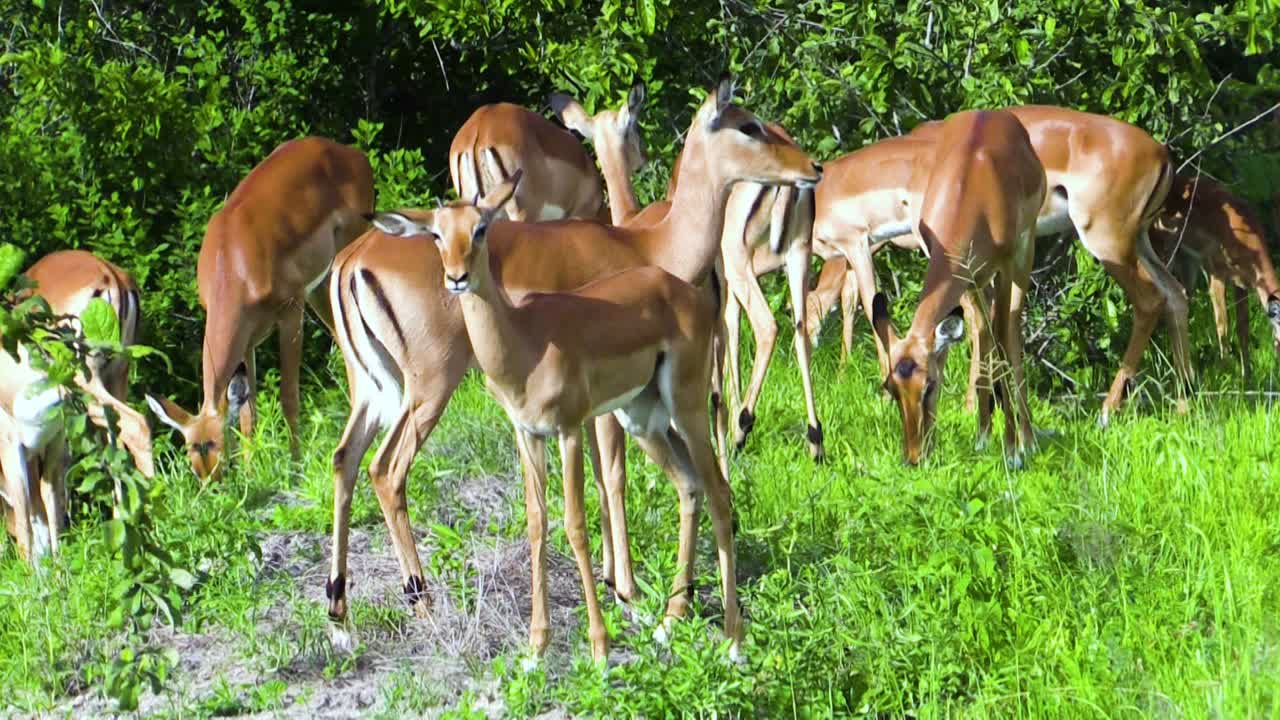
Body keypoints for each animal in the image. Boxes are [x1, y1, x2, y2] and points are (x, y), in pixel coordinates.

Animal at [147, 137, 374, 482]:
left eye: (219, 454)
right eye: (194, 464)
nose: (216, 488)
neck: (232, 265)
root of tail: (349, 152)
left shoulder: (291, 312)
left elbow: (289, 396)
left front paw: (295, 469)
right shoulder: (247, 339)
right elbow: (247, 412)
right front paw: (252, 470)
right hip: (321, 286)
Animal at [325, 89, 652, 623]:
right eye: (634, 129)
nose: (642, 158)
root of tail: (350, 262)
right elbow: (611, 473)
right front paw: (626, 588)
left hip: (375, 390)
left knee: (344, 458)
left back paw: (339, 604)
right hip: (429, 388)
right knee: (386, 471)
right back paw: (420, 597)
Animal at [371, 170, 737, 662]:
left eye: (480, 228)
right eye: (436, 234)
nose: (457, 278)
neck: (526, 343)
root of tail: (686, 293)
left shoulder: (569, 429)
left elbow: (576, 524)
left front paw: (599, 646)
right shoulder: (528, 434)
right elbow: (537, 524)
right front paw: (535, 646)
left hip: (687, 407)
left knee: (719, 491)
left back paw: (733, 641)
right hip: (645, 420)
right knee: (690, 485)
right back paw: (669, 621)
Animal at [872, 110, 1046, 466]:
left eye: (929, 385)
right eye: (891, 387)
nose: (914, 457)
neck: (971, 189)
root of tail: (996, 113)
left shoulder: (1005, 264)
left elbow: (1003, 346)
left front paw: (1011, 451)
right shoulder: (962, 275)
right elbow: (979, 338)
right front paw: (984, 438)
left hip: (1024, 254)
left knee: (1010, 329)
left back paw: (1027, 440)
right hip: (978, 280)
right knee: (982, 330)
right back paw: (984, 434)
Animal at [1150, 173, 1280, 382]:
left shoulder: (1242, 283)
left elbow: (1243, 329)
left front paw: (1248, 377)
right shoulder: (1216, 272)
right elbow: (1222, 325)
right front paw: (1226, 371)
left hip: (1187, 265)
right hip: (1164, 252)